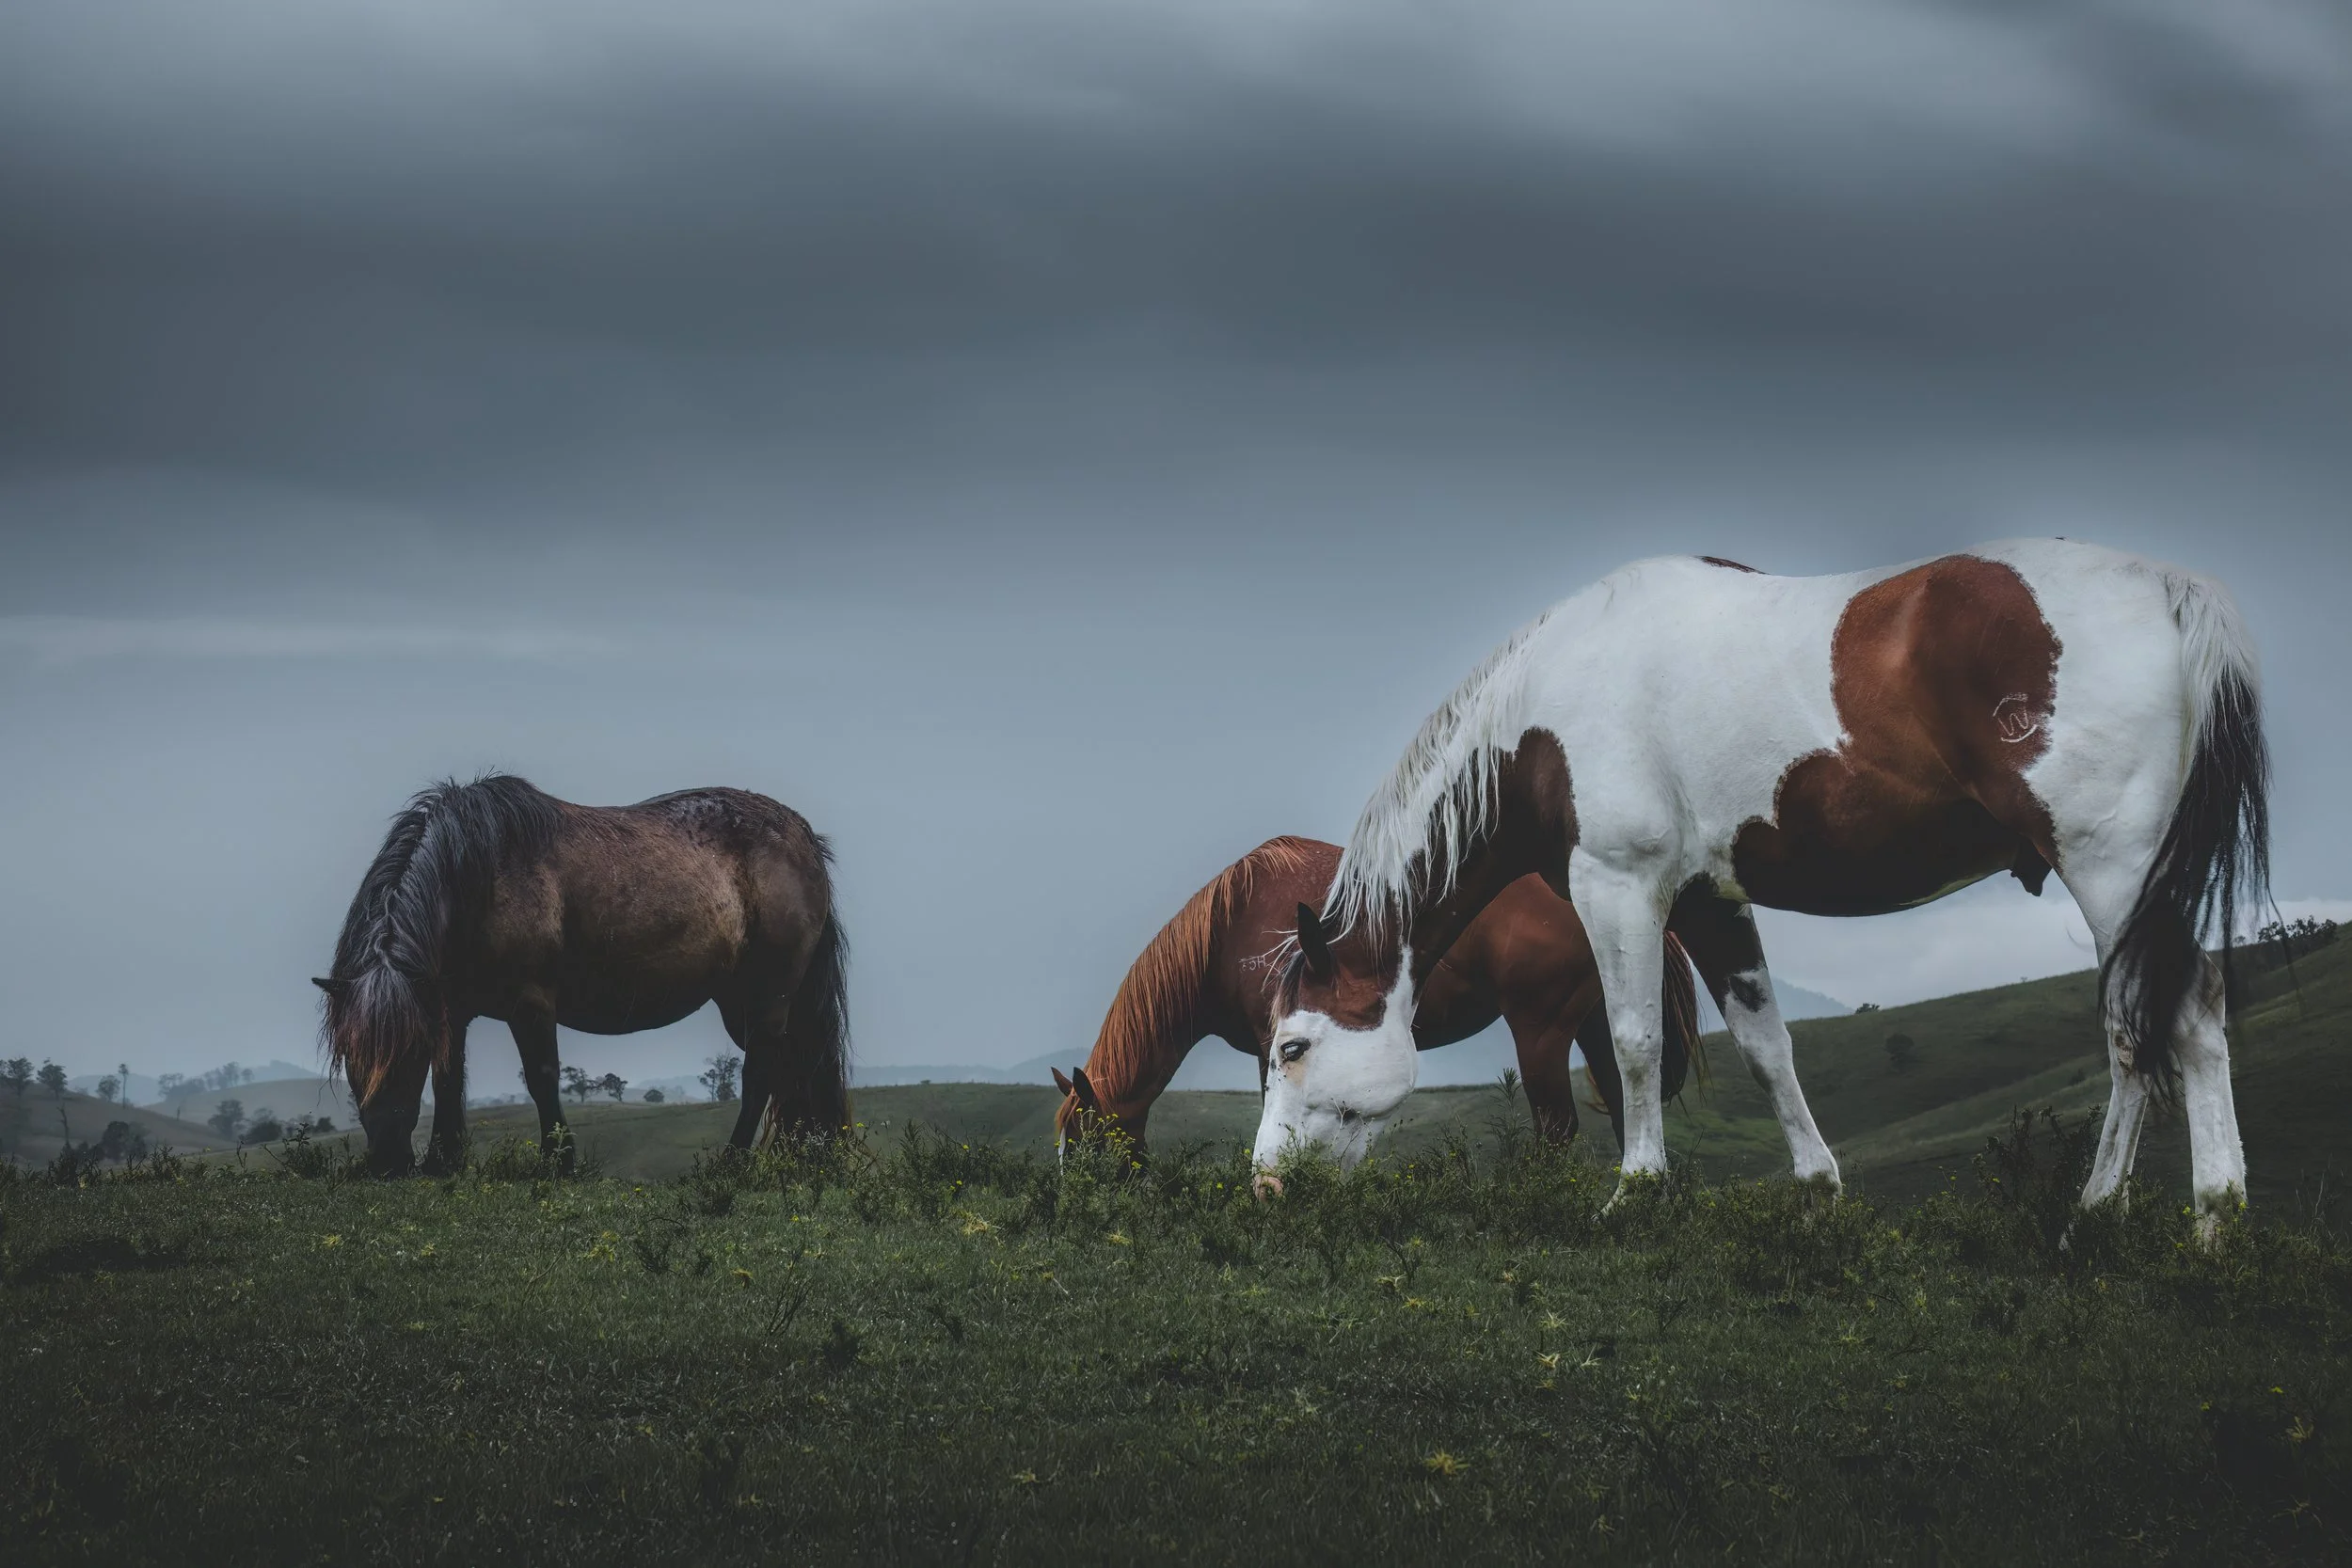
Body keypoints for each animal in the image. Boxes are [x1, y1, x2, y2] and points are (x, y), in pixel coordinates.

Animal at [314, 775, 850, 1175]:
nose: (387, 1161)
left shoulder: (530, 1004)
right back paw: (805, 1159)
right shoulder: (451, 1010)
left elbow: (542, 1079)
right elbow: (449, 1081)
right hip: (745, 1005)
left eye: (407, 1053)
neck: (477, 878)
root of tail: (803, 836)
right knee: (793, 1067)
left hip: (768, 998)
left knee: (761, 1074)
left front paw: (561, 1162)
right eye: (349, 1056)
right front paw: (444, 1161)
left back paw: (734, 1163)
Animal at [1049, 836, 1702, 1163]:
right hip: (1595, 1023)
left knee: (1557, 1128)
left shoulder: (1275, 1046)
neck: (1229, 926)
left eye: (1084, 1145)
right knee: (1627, 1108)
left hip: (1540, 1031)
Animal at [1254, 541, 2269, 1222]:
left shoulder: (1618, 886)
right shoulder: (1712, 901)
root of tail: (2171, 592)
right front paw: (1818, 1191)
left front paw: (1635, 1191)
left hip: (2112, 866)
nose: (1265, 1182)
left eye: (1293, 1046)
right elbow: (1765, 1044)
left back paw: (2191, 1215)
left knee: (2174, 1013)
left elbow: (1631, 1043)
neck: (1541, 714)